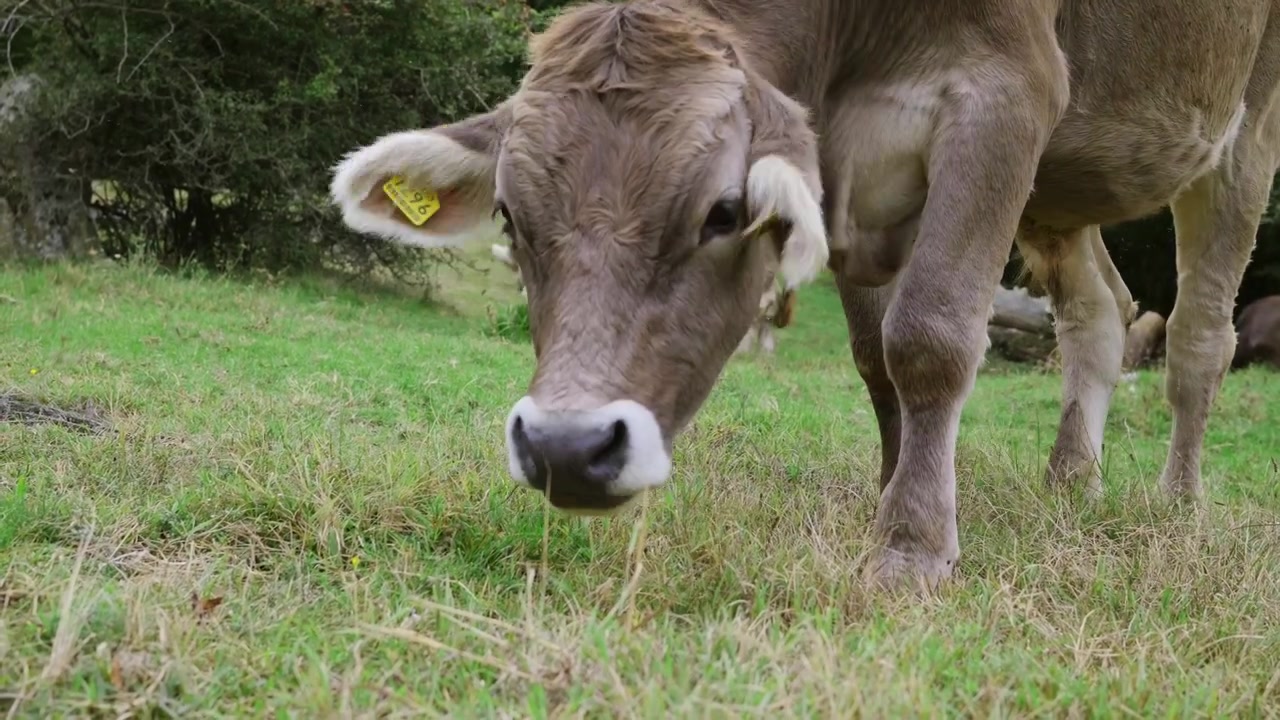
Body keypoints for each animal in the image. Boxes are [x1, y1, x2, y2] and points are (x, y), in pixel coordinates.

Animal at [328, 0, 1280, 593]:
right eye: (510, 216)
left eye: (722, 212)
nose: (567, 447)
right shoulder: (852, 179)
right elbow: (876, 361)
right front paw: (898, 496)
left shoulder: (1007, 94)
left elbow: (930, 336)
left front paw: (912, 549)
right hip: (1062, 190)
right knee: (1100, 312)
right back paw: (1072, 480)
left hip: (1243, 130)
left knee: (1200, 336)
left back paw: (1178, 503)